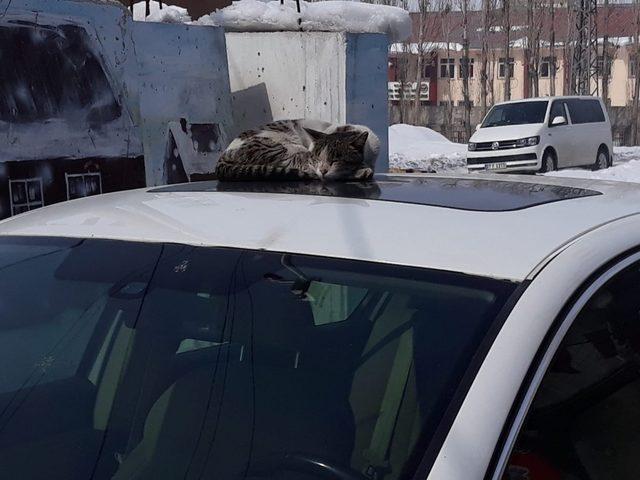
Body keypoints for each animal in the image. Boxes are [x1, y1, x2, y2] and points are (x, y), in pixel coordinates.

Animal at [215, 119, 378, 181]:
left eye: (336, 159)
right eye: (318, 157)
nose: (323, 170)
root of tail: (224, 153)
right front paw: (361, 170)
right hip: (282, 146)